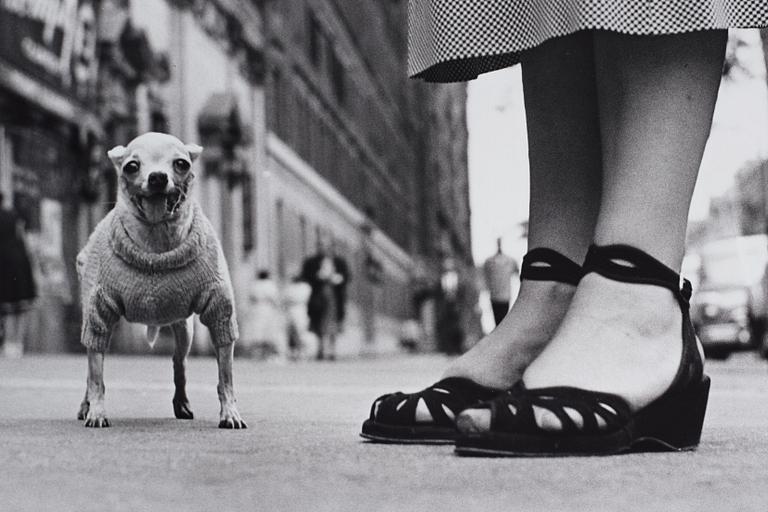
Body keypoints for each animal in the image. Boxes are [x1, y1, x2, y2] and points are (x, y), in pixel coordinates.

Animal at [76, 132, 244, 428]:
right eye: (131, 166)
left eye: (181, 164)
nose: (157, 177)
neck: (156, 242)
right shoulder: (97, 315)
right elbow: (96, 376)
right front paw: (96, 411)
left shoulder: (220, 313)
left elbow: (226, 376)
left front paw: (230, 412)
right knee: (90, 369)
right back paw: (86, 405)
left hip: (184, 329)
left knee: (179, 362)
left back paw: (182, 402)